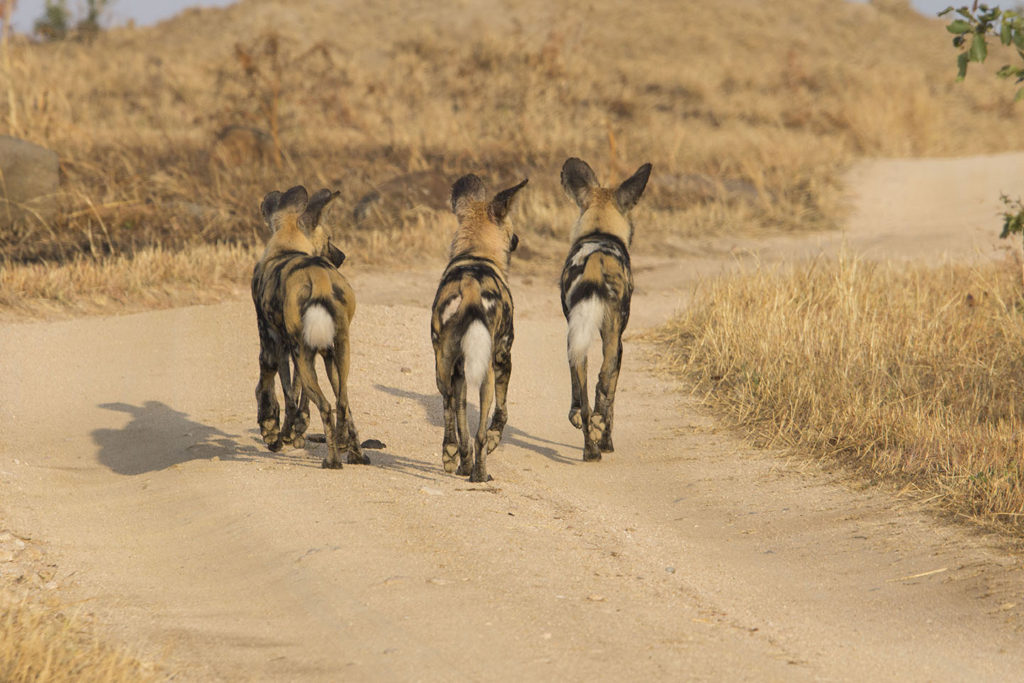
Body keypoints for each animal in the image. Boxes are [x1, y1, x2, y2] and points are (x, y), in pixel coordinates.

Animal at [250, 183, 364, 471]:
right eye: (329, 237)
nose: (342, 256)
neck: (287, 246)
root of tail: (319, 279)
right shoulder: (313, 352)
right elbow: (298, 396)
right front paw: (296, 432)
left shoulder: (273, 344)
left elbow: (277, 392)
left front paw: (275, 434)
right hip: (337, 352)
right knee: (342, 402)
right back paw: (353, 453)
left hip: (302, 353)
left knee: (325, 405)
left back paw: (332, 461)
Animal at [430, 174, 528, 483]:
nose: (517, 239)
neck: (476, 253)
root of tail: (471, 288)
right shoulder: (504, 357)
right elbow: (501, 414)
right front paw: (495, 440)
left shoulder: (460, 372)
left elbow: (463, 425)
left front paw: (463, 463)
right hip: (489, 368)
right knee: (481, 433)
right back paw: (479, 474)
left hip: (444, 365)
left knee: (452, 413)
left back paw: (455, 459)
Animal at [561, 157, 647, 462]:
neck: (600, 232)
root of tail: (595, 262)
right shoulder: (619, 342)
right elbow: (611, 396)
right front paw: (607, 440)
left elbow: (578, 392)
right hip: (612, 337)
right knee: (603, 381)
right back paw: (600, 438)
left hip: (576, 339)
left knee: (584, 397)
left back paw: (590, 450)